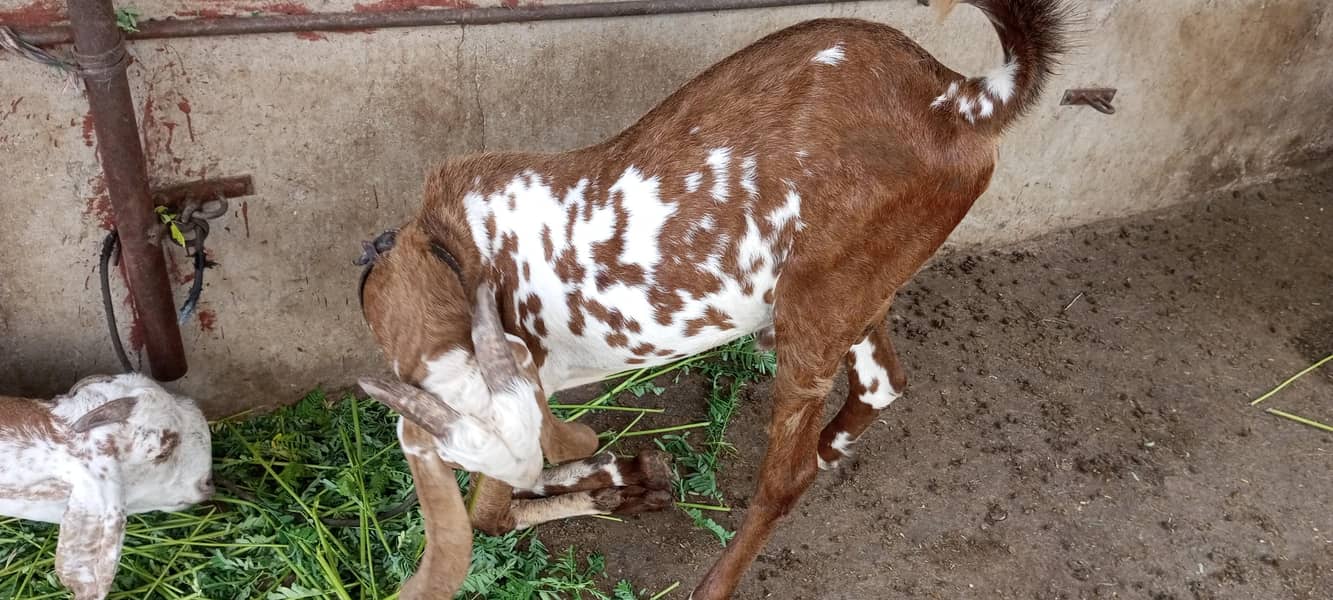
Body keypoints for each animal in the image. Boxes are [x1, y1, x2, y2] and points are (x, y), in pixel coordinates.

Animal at [358, 1, 1071, 597]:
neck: (451, 251)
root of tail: (961, 99)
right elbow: (508, 496)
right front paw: (624, 478)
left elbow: (491, 513)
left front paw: (615, 481)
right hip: (857, 287)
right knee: (882, 382)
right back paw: (829, 447)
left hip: (819, 305)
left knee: (787, 477)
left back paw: (717, 579)